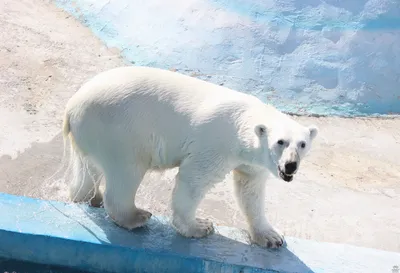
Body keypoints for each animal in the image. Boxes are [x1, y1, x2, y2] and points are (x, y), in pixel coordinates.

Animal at [63, 65, 318, 246]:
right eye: (280, 142)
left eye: (302, 144)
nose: (290, 166)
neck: (242, 121)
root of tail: (72, 106)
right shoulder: (216, 144)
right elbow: (195, 179)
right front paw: (200, 227)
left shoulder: (252, 164)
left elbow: (250, 190)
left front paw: (271, 237)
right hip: (119, 130)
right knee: (127, 171)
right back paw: (136, 217)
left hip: (90, 134)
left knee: (87, 170)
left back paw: (90, 197)